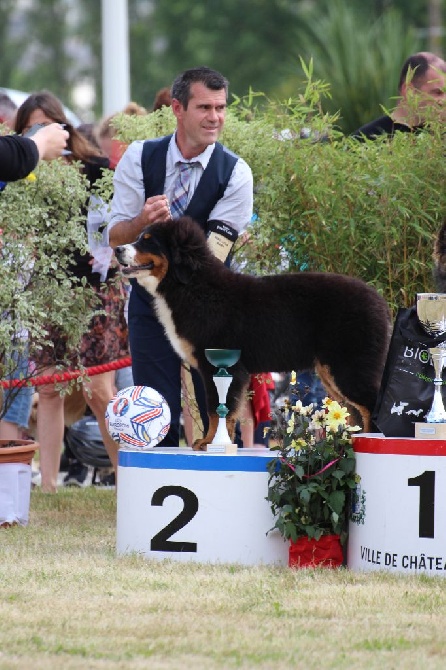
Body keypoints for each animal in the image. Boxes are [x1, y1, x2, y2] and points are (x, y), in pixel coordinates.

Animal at [115, 220, 390, 452]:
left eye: (148, 241)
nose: (117, 249)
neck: (194, 288)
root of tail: (379, 302)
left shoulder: (221, 366)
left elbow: (216, 408)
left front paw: (208, 443)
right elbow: (220, 410)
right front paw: (213, 442)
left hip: (349, 367)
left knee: (372, 407)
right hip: (333, 373)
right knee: (356, 412)